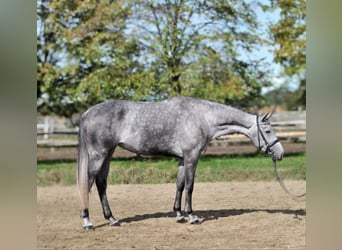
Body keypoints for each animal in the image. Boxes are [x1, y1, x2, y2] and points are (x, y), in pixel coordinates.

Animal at [77, 95, 284, 229]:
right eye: (267, 131)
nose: (280, 153)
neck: (202, 117)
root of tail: (87, 113)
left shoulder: (182, 159)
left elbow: (179, 185)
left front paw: (178, 214)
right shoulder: (192, 156)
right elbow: (190, 186)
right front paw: (191, 216)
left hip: (108, 154)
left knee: (101, 184)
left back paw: (112, 219)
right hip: (99, 155)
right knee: (88, 183)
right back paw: (87, 221)